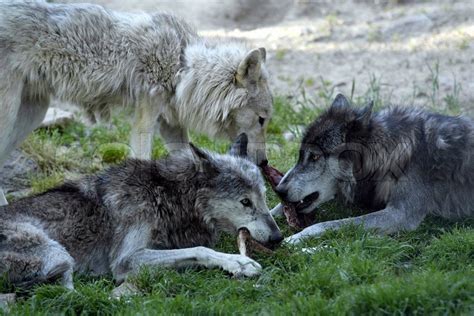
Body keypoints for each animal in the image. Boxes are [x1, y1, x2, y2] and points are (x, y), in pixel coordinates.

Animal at [0, 0, 272, 206]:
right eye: (261, 120)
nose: (264, 163)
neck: (182, 66)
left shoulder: (169, 124)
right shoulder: (144, 121)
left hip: (33, 114)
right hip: (11, 114)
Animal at [0, 135, 282, 290]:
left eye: (264, 197)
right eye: (245, 202)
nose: (278, 238)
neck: (167, 194)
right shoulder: (125, 260)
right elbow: (200, 250)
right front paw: (239, 262)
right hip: (58, 253)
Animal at [274, 94, 474, 244]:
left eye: (315, 157)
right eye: (300, 155)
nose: (279, 190)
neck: (388, 153)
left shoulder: (400, 214)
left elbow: (326, 224)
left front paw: (295, 239)